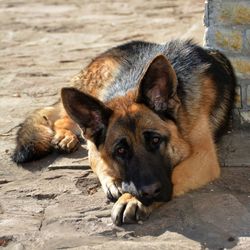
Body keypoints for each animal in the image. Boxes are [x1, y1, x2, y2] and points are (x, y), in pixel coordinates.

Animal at [12, 40, 236, 225]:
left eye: (156, 140)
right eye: (120, 151)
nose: (150, 192)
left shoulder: (204, 158)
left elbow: (177, 172)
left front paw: (131, 199)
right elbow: (97, 159)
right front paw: (118, 185)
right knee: (65, 122)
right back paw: (66, 136)